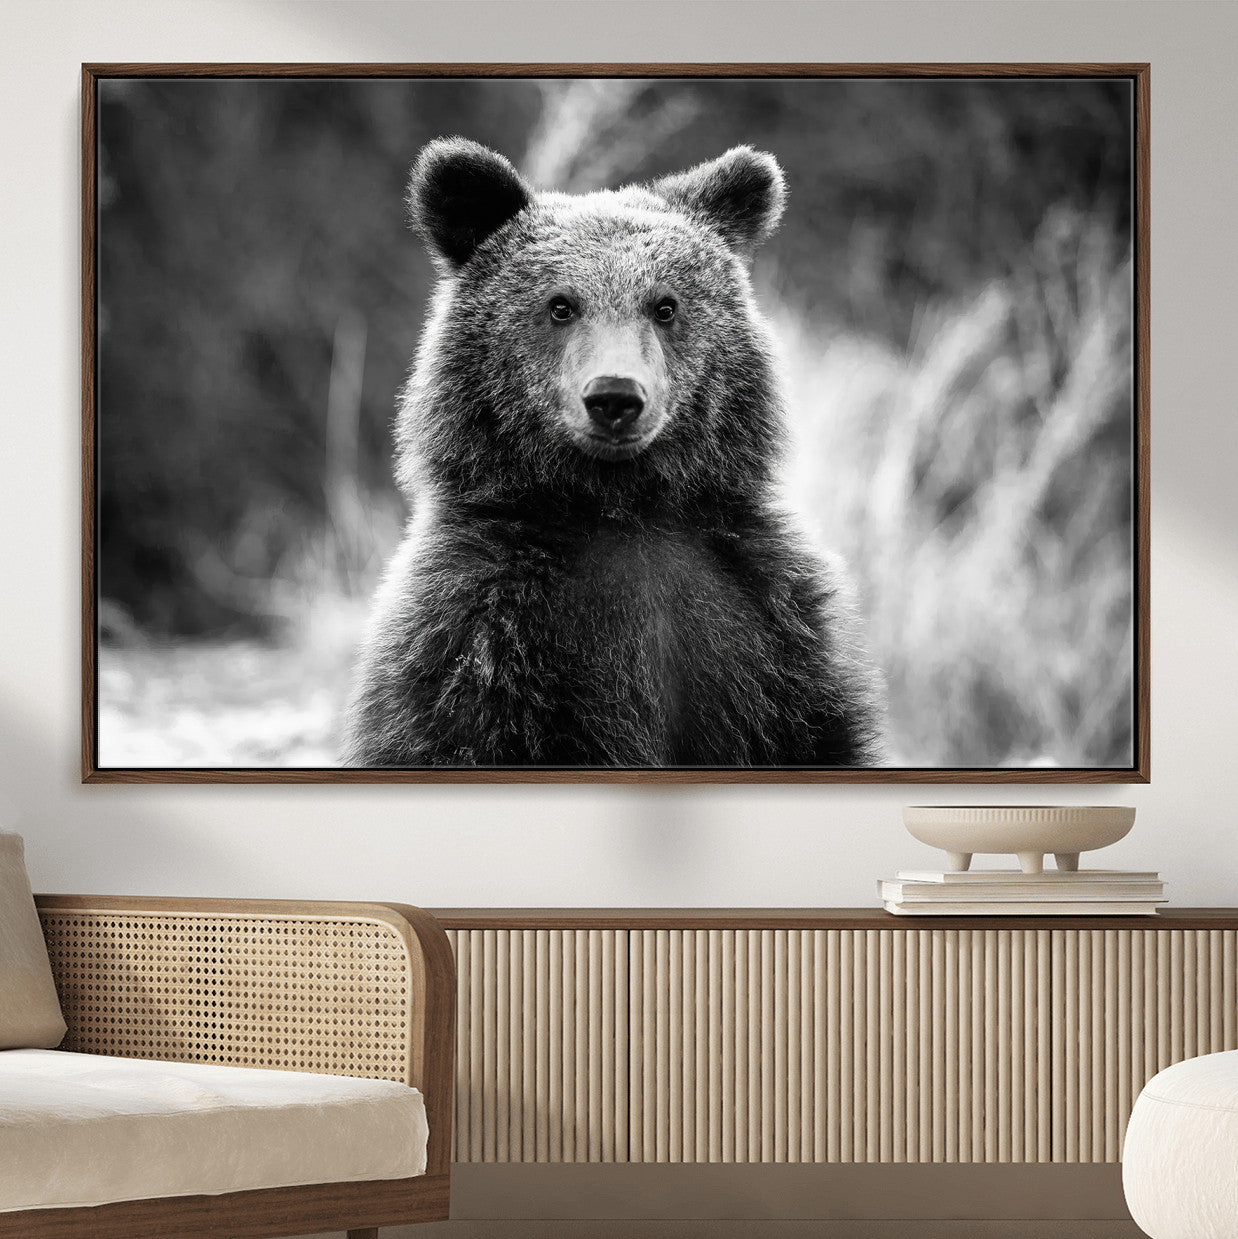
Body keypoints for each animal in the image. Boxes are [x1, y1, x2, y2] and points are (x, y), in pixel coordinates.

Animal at [342, 137, 884, 769]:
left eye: (665, 306)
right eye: (560, 305)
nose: (615, 397)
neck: (621, 508)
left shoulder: (768, 626)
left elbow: (816, 732)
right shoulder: (478, 636)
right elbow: (453, 732)